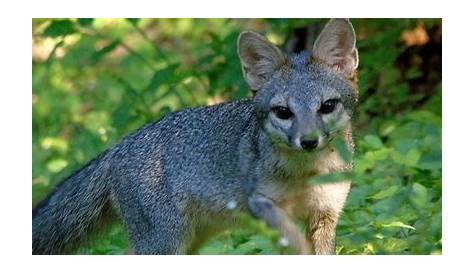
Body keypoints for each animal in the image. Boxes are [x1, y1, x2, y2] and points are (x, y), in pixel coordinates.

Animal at [32, 18, 360, 255]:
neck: (306, 174)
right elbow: (293, 242)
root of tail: (119, 146)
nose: (308, 141)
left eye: (327, 106)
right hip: (165, 243)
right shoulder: (261, 203)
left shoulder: (326, 215)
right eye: (283, 112)